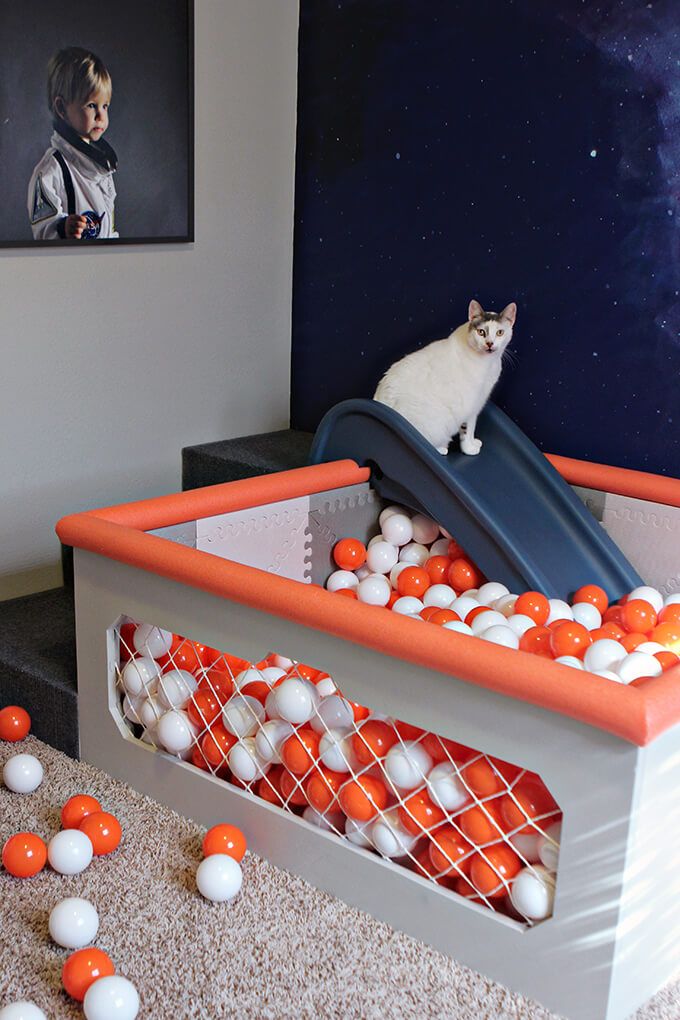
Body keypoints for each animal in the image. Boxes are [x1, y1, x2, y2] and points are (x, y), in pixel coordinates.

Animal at [373, 295, 515, 454]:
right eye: (481, 332)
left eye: (500, 332)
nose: (489, 343)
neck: (490, 362)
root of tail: (380, 402)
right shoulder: (471, 405)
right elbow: (469, 428)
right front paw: (469, 448)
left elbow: (469, 429)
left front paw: (473, 443)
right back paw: (441, 449)